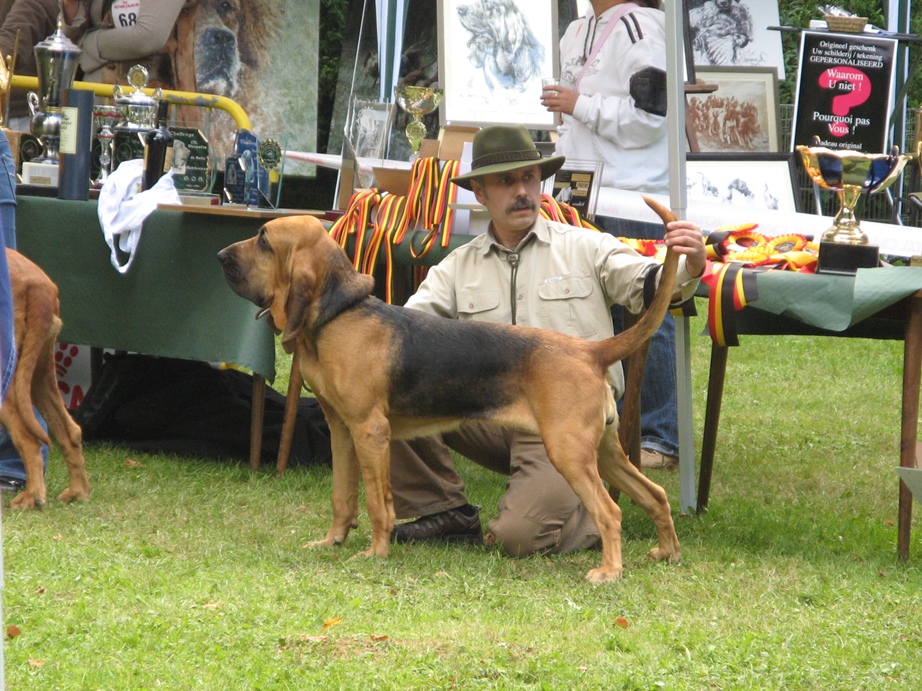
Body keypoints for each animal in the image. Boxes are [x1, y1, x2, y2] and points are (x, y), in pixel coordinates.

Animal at [0, 249, 90, 508]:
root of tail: (39, 284)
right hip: (38, 373)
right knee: (69, 430)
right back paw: (77, 493)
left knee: (28, 438)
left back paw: (32, 497)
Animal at [214, 200, 676, 584]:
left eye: (264, 240)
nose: (219, 257)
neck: (340, 314)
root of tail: (589, 350)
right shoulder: (342, 431)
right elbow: (342, 498)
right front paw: (332, 542)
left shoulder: (370, 431)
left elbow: (378, 503)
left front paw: (376, 553)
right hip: (604, 452)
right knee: (654, 495)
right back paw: (666, 553)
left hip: (569, 453)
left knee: (610, 511)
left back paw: (609, 571)